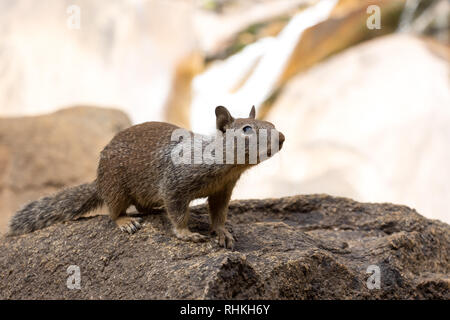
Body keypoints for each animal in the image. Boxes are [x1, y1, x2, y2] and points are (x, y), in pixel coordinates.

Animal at [7, 106, 284, 249]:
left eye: (271, 123)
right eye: (247, 129)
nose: (282, 137)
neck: (228, 166)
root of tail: (98, 182)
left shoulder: (222, 191)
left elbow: (218, 213)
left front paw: (222, 232)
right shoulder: (175, 185)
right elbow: (178, 212)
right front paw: (186, 234)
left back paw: (154, 210)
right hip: (116, 187)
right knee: (114, 211)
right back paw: (125, 222)